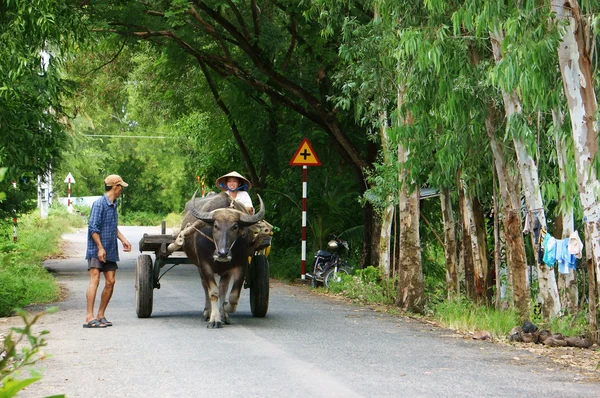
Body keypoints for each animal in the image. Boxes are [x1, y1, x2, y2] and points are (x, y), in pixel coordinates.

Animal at [180, 191, 264, 328]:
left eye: (235, 227)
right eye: (215, 226)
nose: (222, 253)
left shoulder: (241, 265)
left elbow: (233, 296)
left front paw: (225, 309)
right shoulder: (204, 265)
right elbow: (213, 292)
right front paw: (214, 319)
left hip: (226, 271)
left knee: (223, 288)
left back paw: (224, 314)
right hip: (199, 267)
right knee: (205, 287)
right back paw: (206, 313)